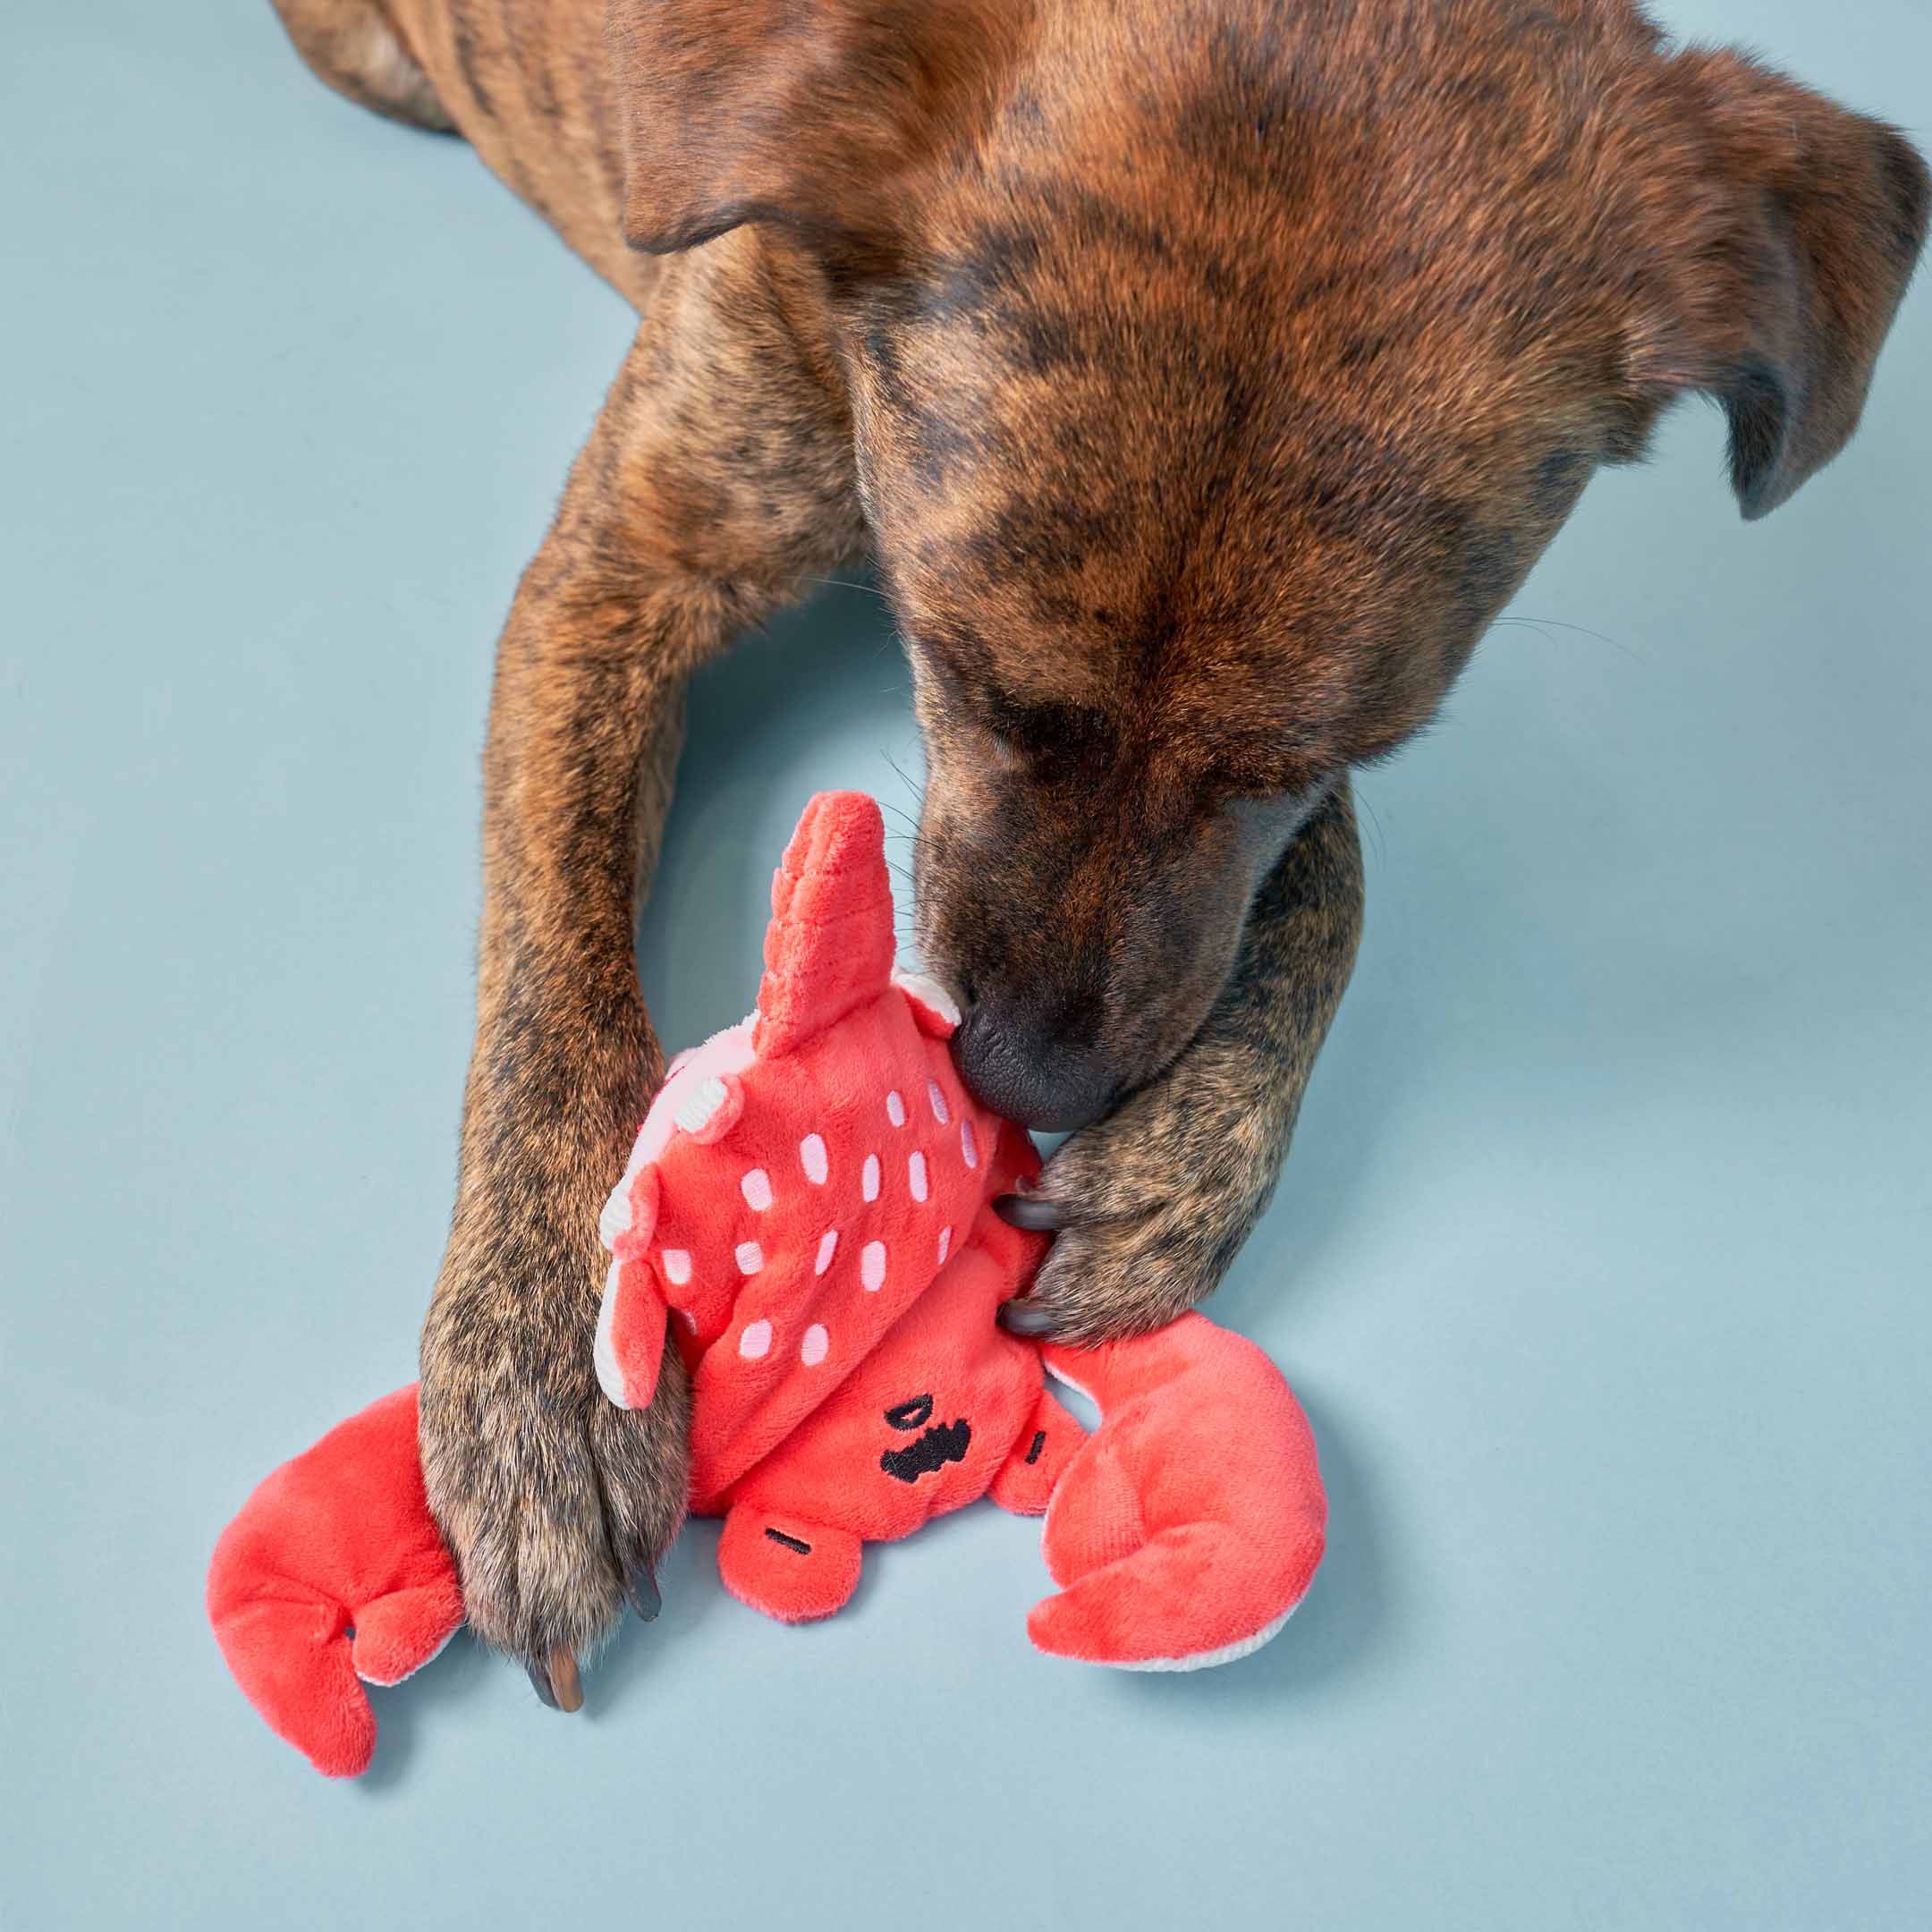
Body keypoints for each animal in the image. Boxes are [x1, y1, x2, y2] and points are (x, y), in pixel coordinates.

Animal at [264, 0, 1924, 1707]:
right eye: (969, 676)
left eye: (1302, 761)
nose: (1022, 1080)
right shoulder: (619, 576)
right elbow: (555, 970)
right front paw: (559, 1361)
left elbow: (1334, 891)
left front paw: (1182, 1170)